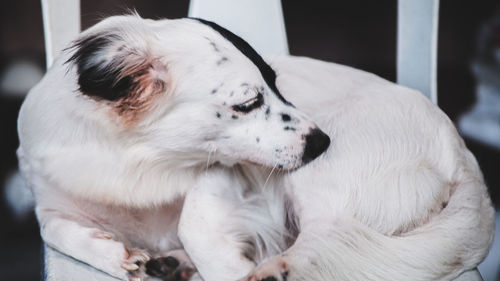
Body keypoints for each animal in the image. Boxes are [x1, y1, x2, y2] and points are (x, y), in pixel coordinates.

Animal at [16, 13, 496, 280]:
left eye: (277, 83)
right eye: (248, 103)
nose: (321, 140)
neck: (139, 162)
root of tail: (462, 156)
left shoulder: (234, 177)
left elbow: (194, 218)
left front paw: (225, 268)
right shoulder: (50, 194)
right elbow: (52, 229)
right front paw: (111, 254)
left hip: (317, 179)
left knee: (325, 233)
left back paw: (274, 270)